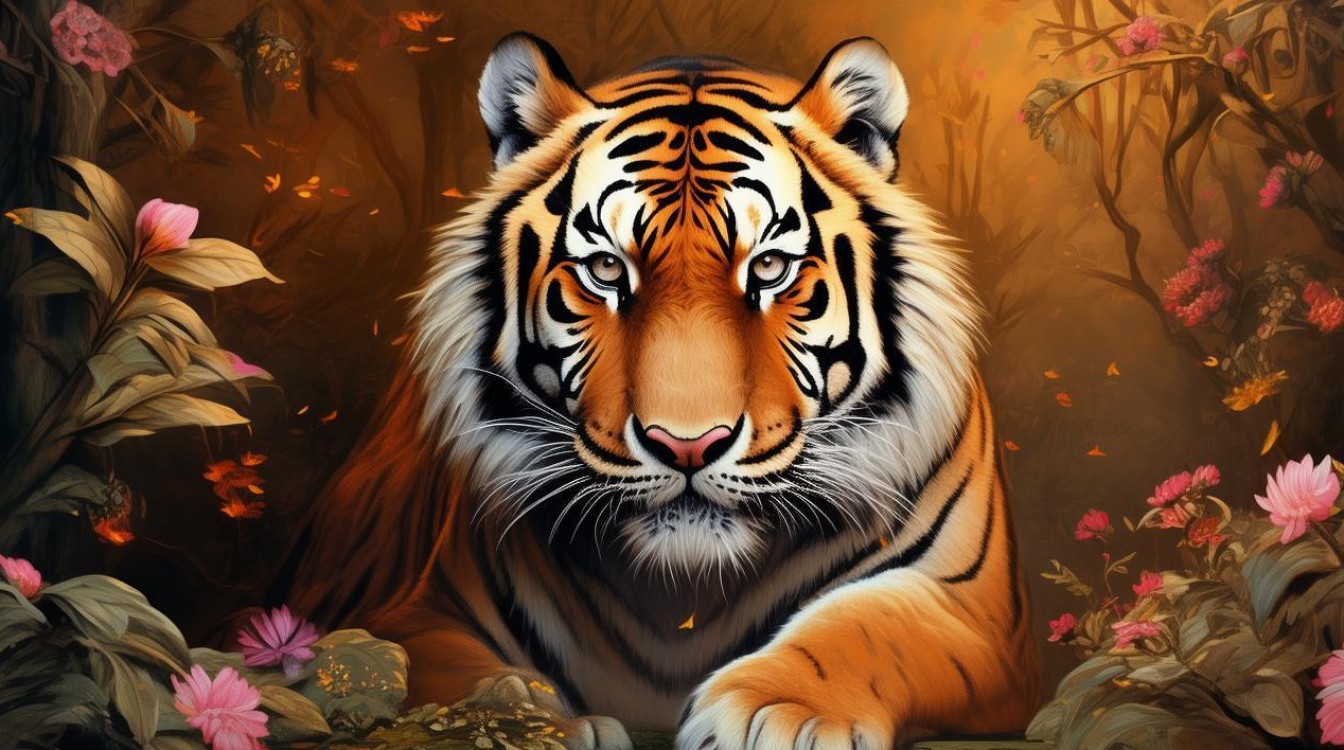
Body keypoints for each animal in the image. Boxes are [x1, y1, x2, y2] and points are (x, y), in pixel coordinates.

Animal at [285, 32, 1040, 750]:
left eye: (769, 266)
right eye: (604, 270)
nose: (687, 446)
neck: (683, 595)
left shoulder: (971, 611)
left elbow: (868, 626)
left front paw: (774, 713)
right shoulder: (405, 609)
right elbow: (415, 667)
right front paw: (520, 719)